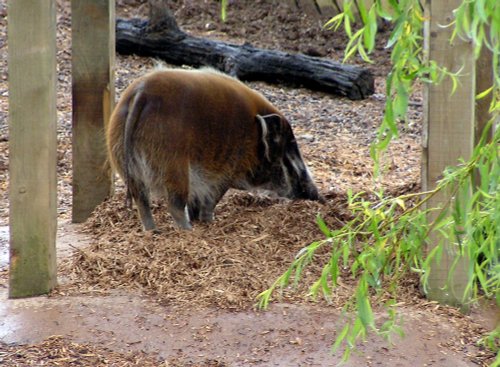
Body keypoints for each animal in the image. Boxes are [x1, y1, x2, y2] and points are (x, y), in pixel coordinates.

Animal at [106, 67, 324, 231]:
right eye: (289, 152)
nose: (318, 197)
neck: (253, 138)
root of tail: (141, 94)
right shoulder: (223, 175)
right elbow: (210, 202)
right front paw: (209, 222)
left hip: (127, 167)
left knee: (142, 202)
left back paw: (154, 232)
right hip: (174, 167)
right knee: (174, 205)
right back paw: (187, 231)